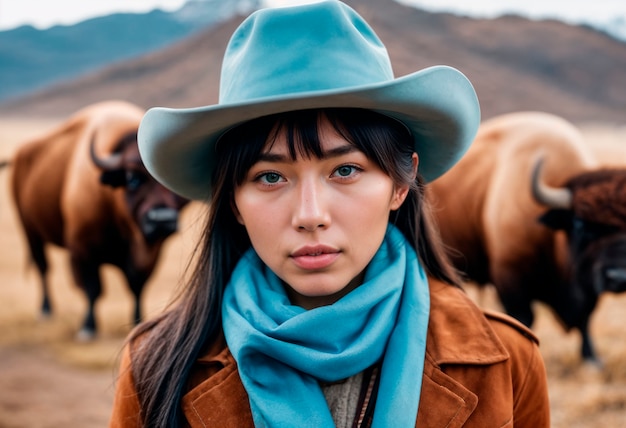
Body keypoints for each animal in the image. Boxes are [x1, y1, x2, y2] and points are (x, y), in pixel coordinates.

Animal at [4, 100, 186, 342]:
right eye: (132, 178)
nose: (162, 220)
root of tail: (19, 155)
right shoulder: (84, 250)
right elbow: (93, 289)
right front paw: (87, 328)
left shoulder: (150, 254)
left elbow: (137, 286)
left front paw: (138, 322)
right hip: (30, 231)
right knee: (43, 268)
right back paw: (45, 310)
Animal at [426, 112, 624, 362]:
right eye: (579, 224)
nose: (618, 277)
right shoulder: (511, 277)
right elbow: (523, 318)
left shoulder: (585, 285)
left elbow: (585, 318)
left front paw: (592, 359)